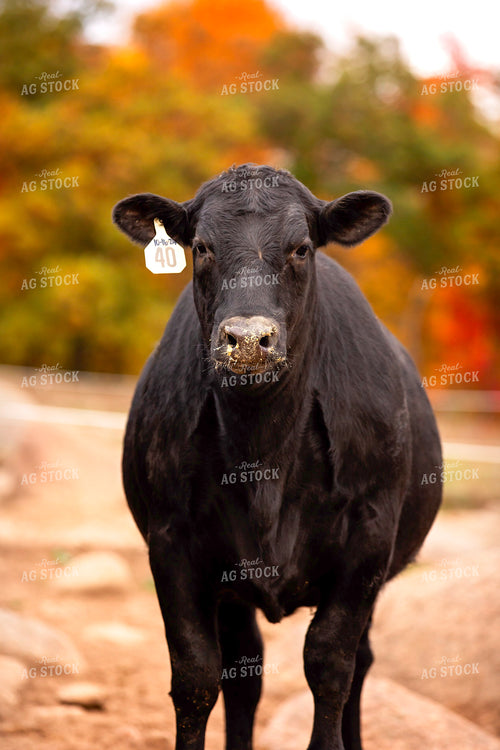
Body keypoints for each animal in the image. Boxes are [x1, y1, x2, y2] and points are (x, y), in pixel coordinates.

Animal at [112, 164, 442, 750]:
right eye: (200, 247)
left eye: (301, 248)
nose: (247, 339)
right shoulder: (170, 541)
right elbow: (196, 674)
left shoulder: (370, 538)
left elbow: (330, 662)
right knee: (246, 670)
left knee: (360, 661)